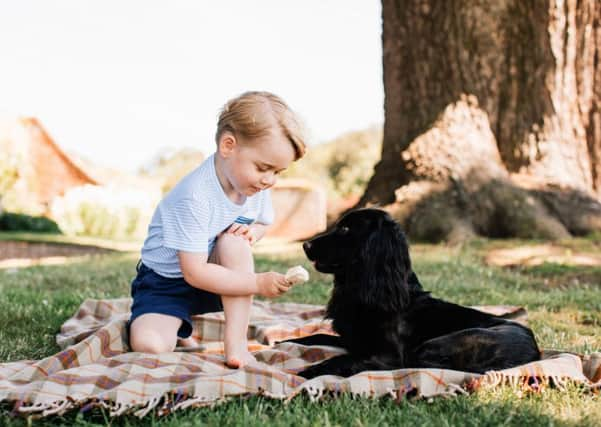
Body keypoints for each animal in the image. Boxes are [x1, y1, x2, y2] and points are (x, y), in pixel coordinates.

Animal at [286, 209, 540, 380]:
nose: (305, 245)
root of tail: (535, 353)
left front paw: (308, 371)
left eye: (346, 229)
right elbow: (313, 336)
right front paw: (283, 342)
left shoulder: (388, 354)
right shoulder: (352, 340)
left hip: (438, 343)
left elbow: (343, 358)